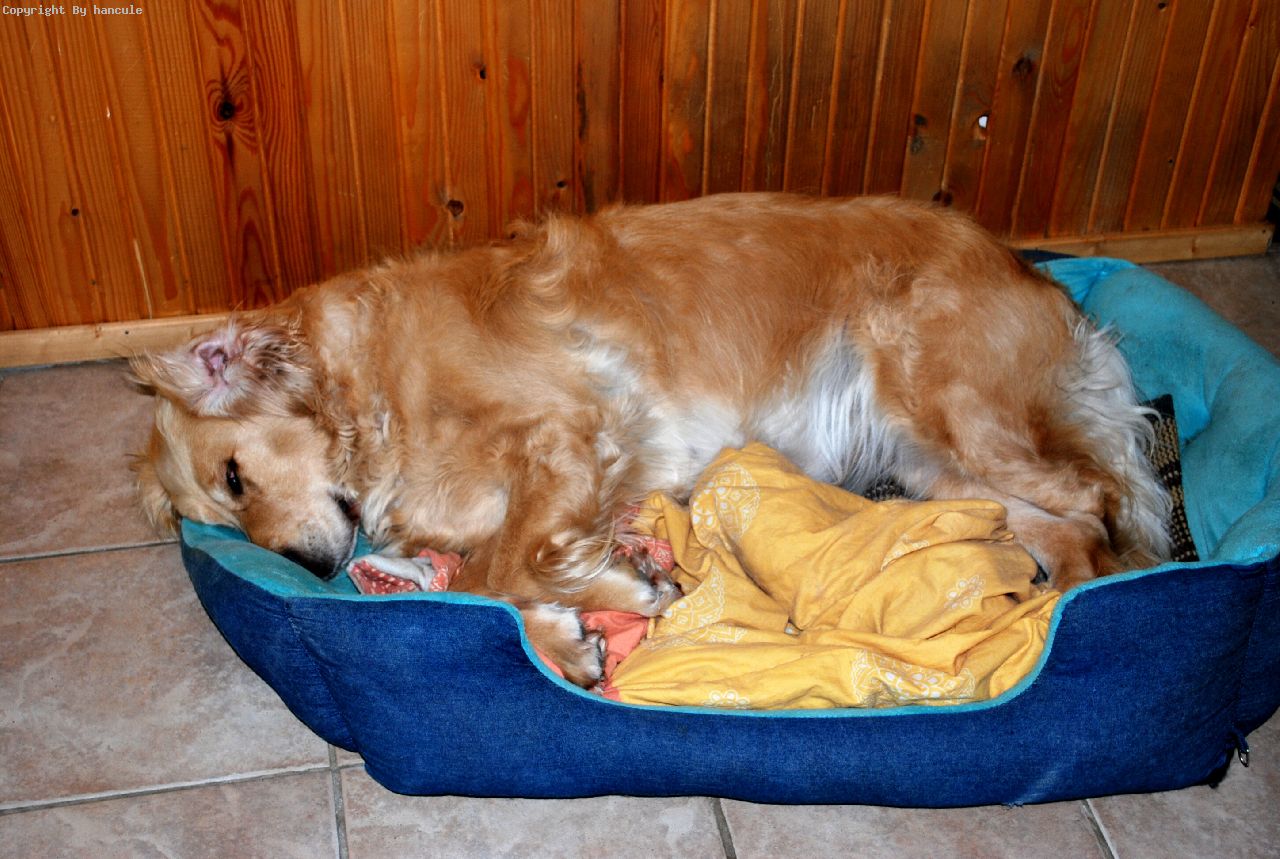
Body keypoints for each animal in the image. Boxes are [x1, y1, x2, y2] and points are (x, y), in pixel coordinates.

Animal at [131, 193, 1171, 687]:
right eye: (221, 512)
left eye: (235, 476)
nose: (309, 573)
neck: (368, 385)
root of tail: (1035, 275)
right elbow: (496, 575)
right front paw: (586, 620)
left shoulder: (573, 430)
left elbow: (496, 571)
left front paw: (601, 603)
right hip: (936, 469)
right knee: (1067, 525)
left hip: (947, 402)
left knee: (1101, 505)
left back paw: (1075, 629)